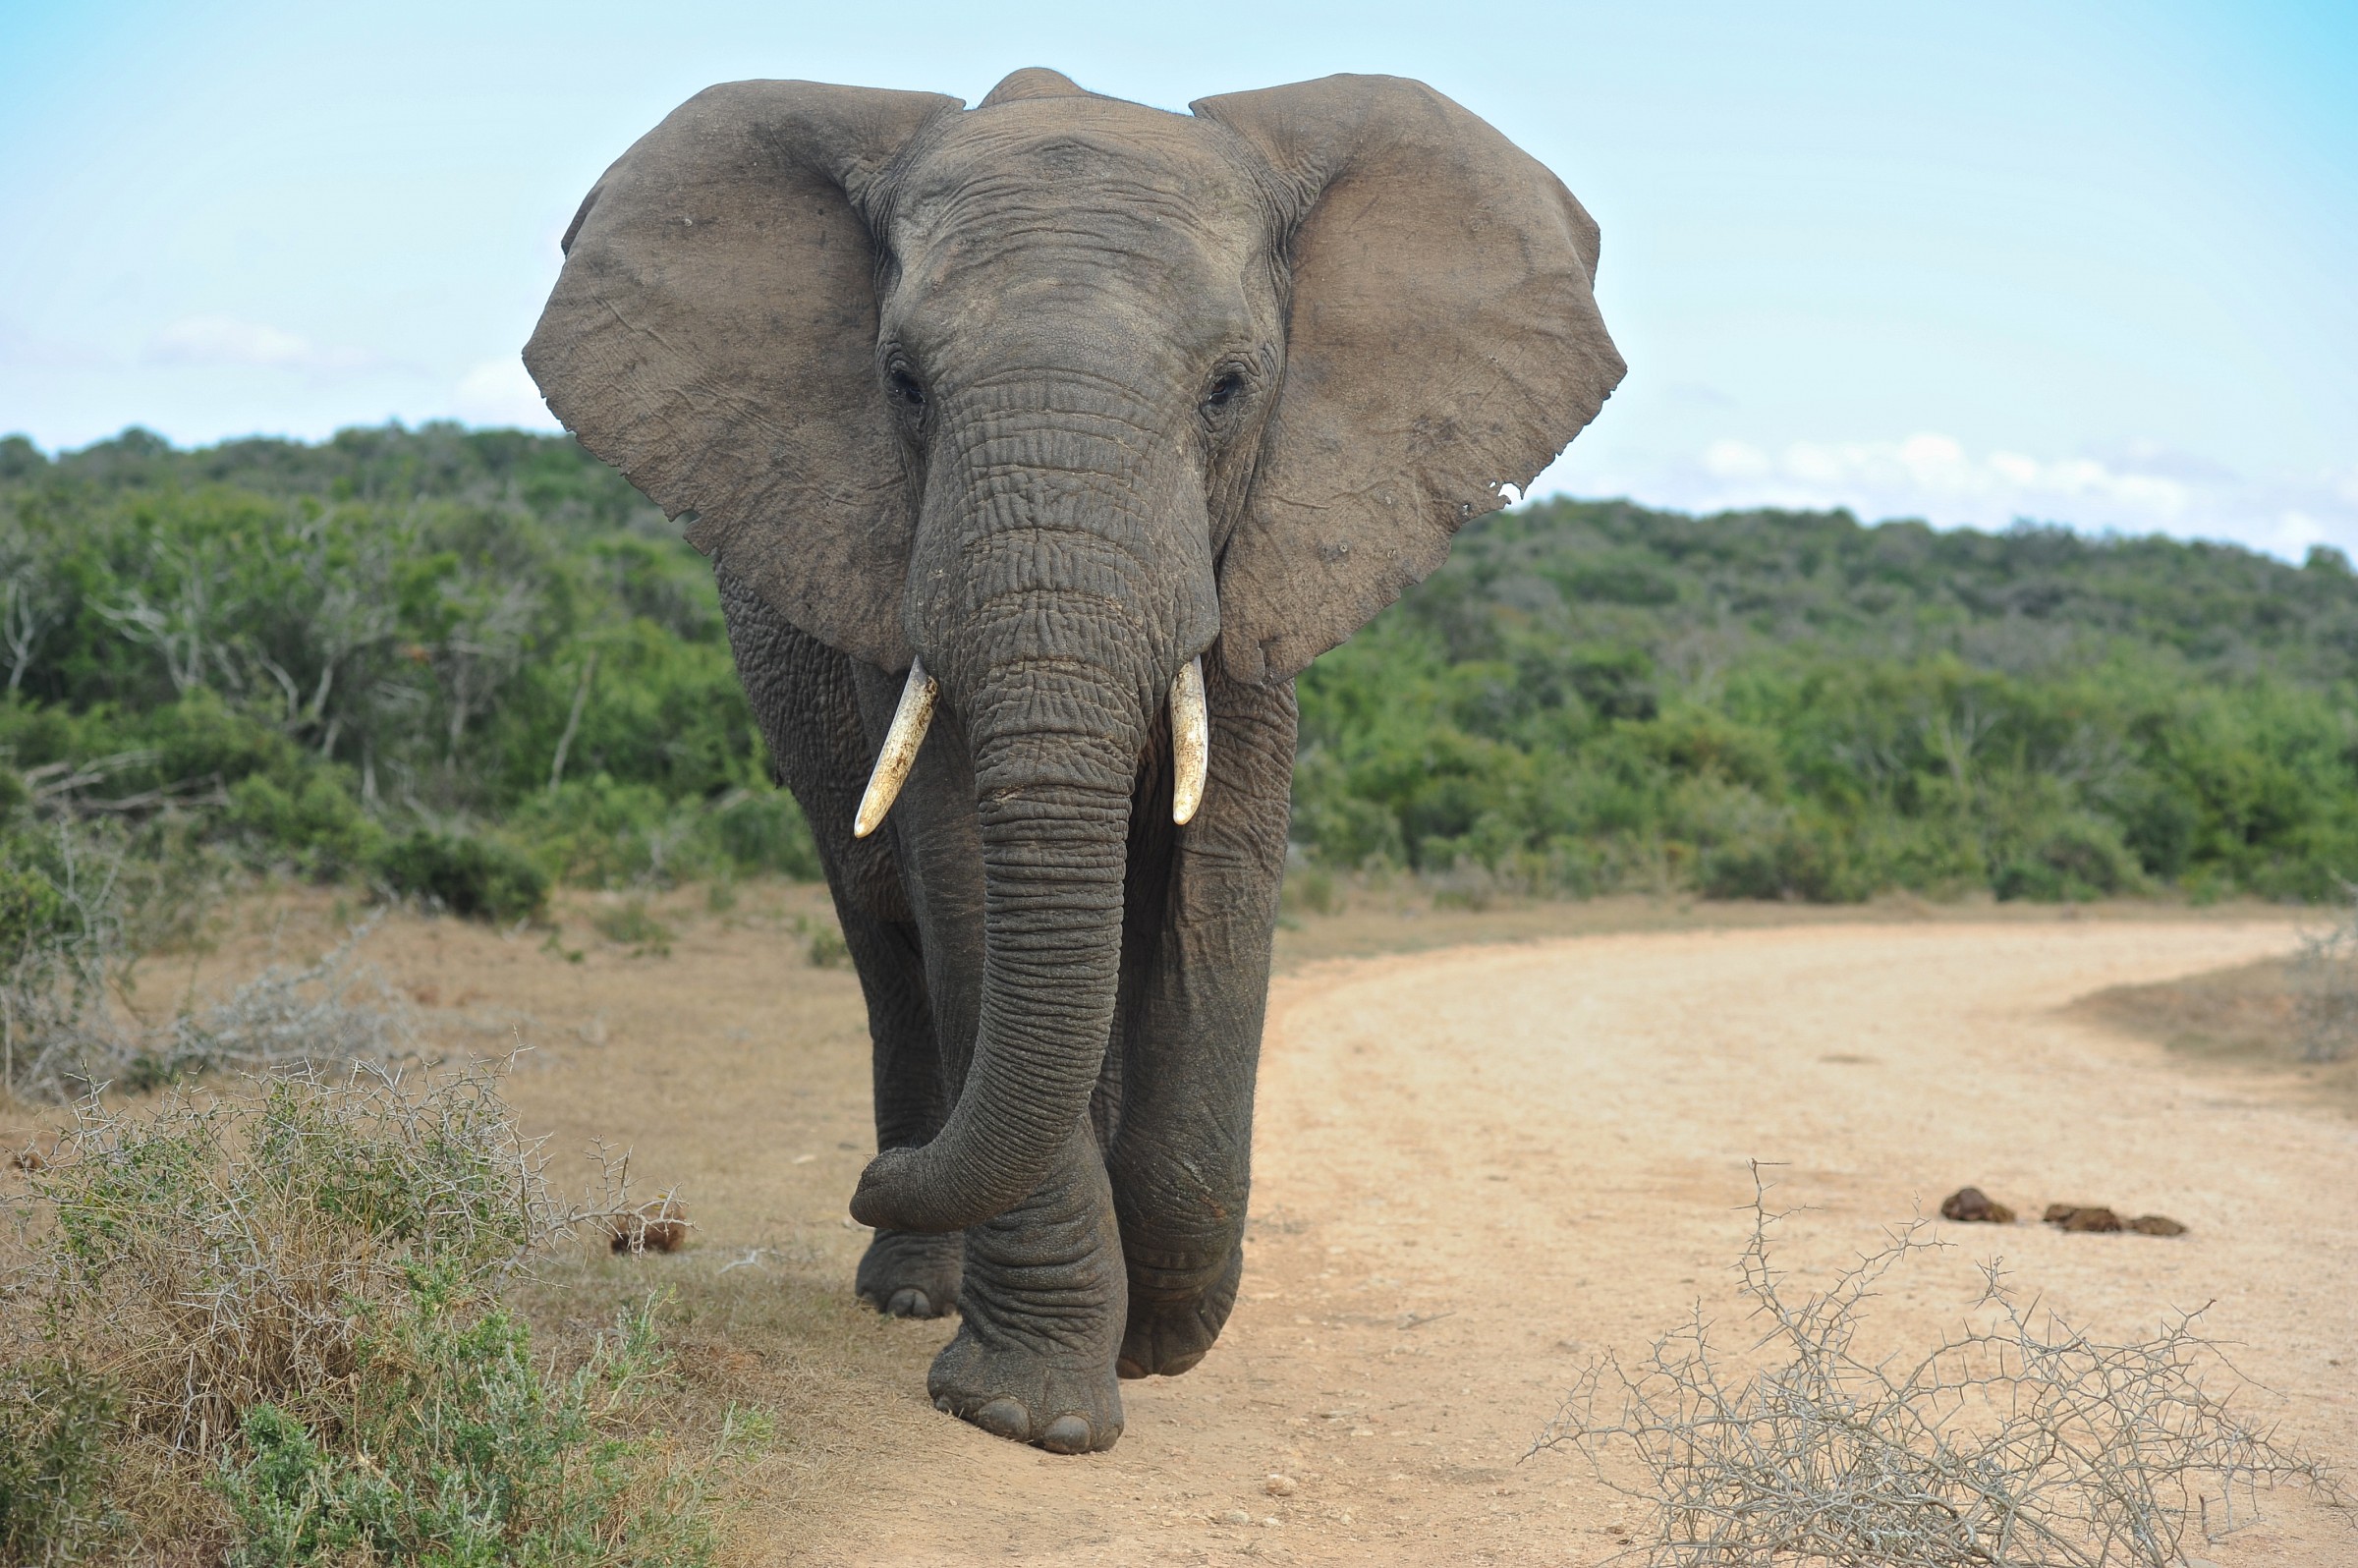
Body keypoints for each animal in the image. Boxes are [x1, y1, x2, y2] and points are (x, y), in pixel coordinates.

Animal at [524, 66, 1621, 1454]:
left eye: (1230, 388)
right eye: (902, 383)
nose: (865, 1183)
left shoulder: (1258, 557)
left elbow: (1218, 890)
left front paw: (1159, 1341)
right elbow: (967, 885)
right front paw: (1025, 1410)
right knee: (889, 943)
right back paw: (912, 1286)